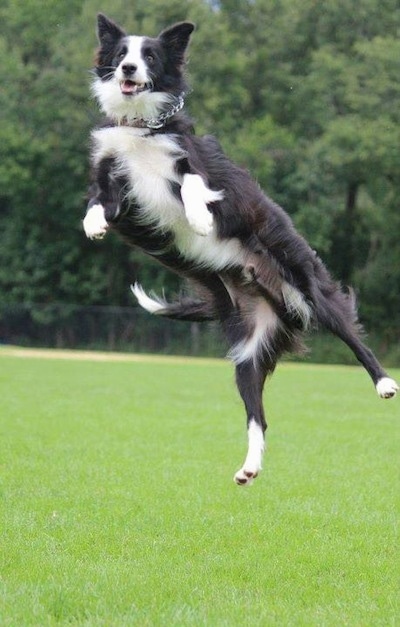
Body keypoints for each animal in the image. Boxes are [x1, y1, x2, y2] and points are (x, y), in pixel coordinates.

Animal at [83, 13, 396, 486]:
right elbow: (99, 199)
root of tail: (278, 302)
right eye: (121, 54)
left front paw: (199, 219)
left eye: (149, 56)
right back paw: (249, 468)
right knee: (257, 416)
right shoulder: (116, 182)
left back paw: (384, 383)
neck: (141, 127)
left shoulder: (196, 165)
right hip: (248, 352)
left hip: (310, 286)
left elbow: (193, 183)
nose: (128, 70)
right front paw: (94, 224)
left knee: (354, 339)